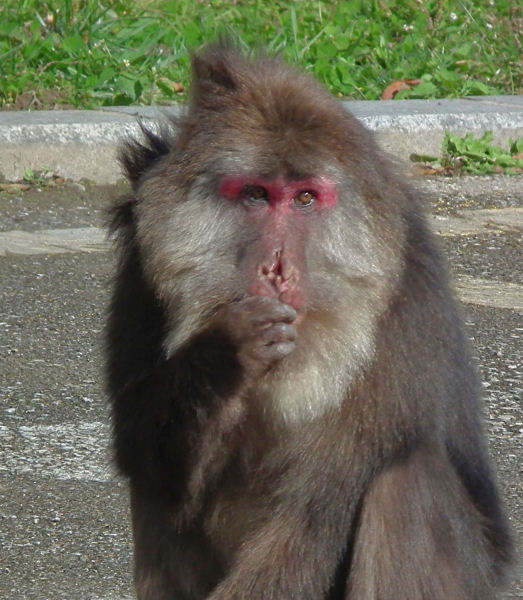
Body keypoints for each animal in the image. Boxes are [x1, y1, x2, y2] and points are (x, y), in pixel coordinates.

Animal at [105, 45, 512, 600]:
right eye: (257, 195)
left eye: (304, 199)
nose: (275, 269)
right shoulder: (140, 270)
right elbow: (143, 450)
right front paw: (226, 353)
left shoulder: (401, 309)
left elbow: (314, 513)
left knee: (405, 482)